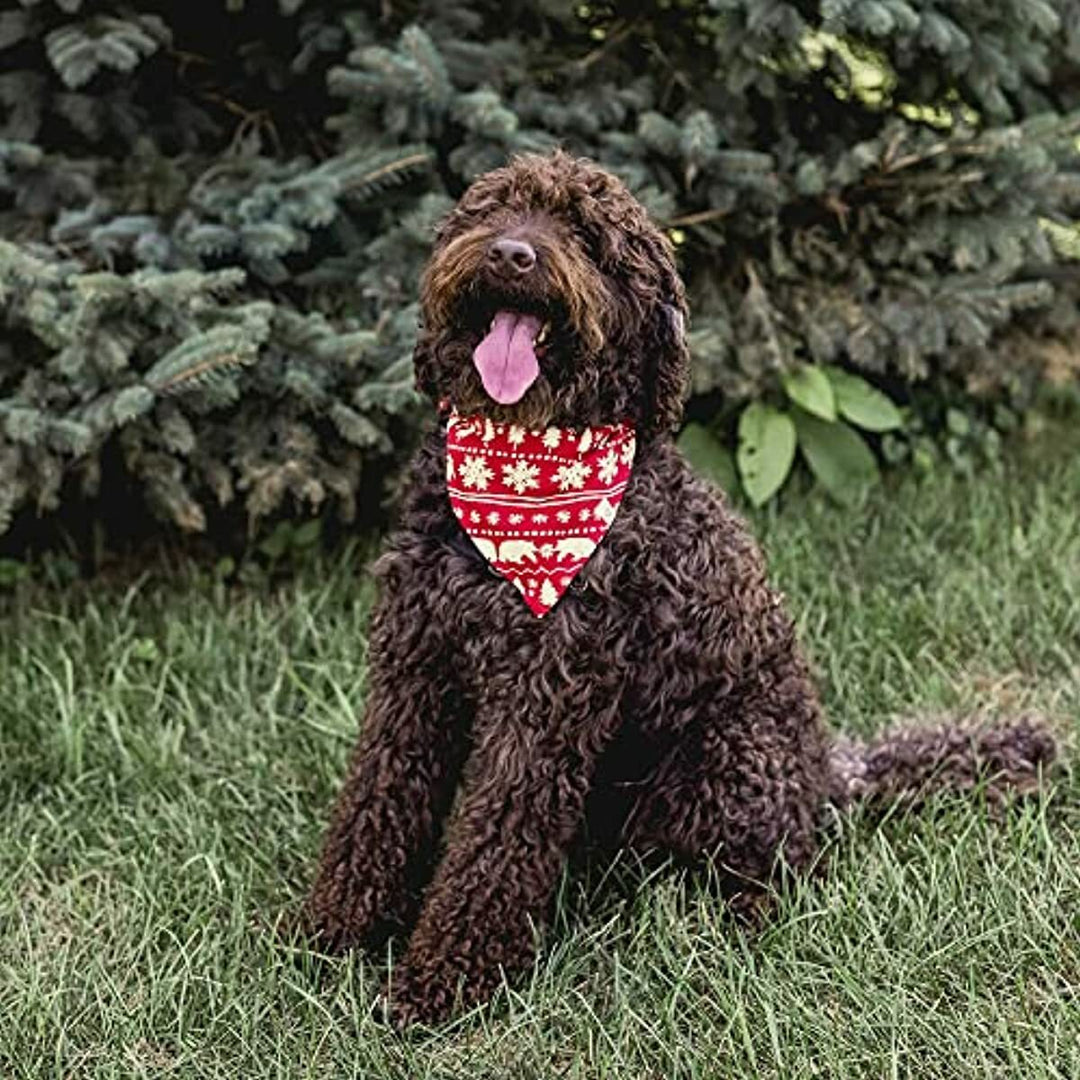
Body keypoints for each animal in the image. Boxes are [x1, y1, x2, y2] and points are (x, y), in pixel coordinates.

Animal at [302, 147, 1054, 1023]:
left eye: (587, 237)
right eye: (495, 210)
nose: (512, 254)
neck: (521, 461)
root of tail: (829, 772)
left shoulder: (546, 702)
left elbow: (494, 840)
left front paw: (441, 984)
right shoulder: (415, 669)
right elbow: (380, 798)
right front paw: (335, 933)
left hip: (725, 759)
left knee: (787, 866)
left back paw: (739, 924)